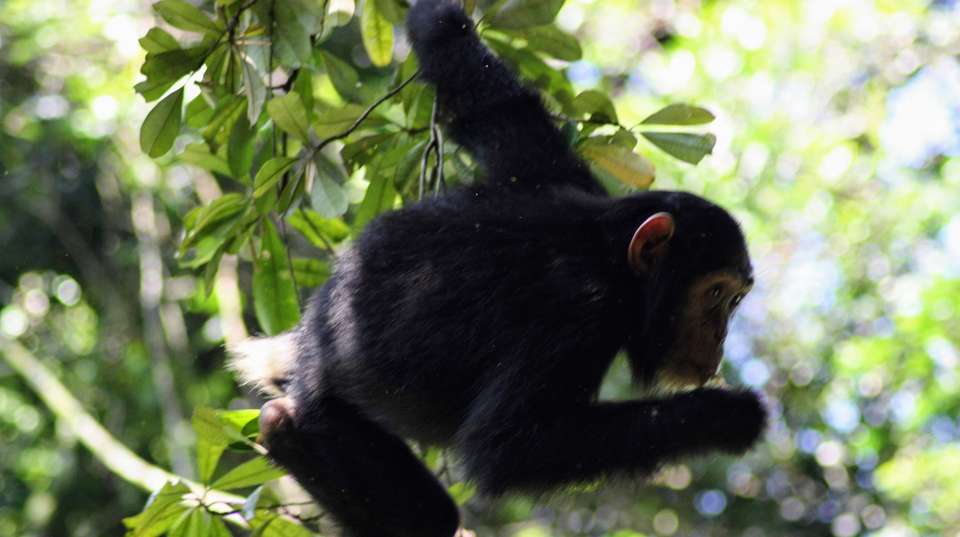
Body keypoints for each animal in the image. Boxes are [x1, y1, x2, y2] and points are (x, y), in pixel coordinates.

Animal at [227, 2, 767, 536]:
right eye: (715, 295)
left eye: (735, 300)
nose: (719, 336)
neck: (608, 257)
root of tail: (299, 345)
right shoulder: (576, 313)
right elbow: (510, 446)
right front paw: (729, 415)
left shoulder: (548, 169)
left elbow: (483, 90)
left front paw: (440, 17)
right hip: (326, 412)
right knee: (418, 504)